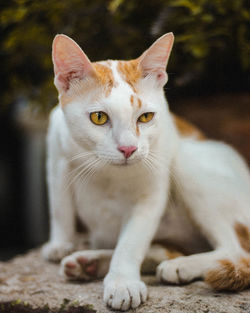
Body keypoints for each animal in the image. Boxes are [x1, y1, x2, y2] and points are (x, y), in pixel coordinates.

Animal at [42, 32, 250, 310]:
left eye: (146, 117)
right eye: (99, 117)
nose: (128, 148)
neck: (106, 170)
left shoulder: (153, 187)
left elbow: (132, 240)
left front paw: (122, 283)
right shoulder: (57, 153)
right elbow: (59, 207)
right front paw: (60, 244)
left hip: (187, 162)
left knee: (237, 250)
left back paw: (181, 265)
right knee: (169, 248)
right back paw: (91, 263)